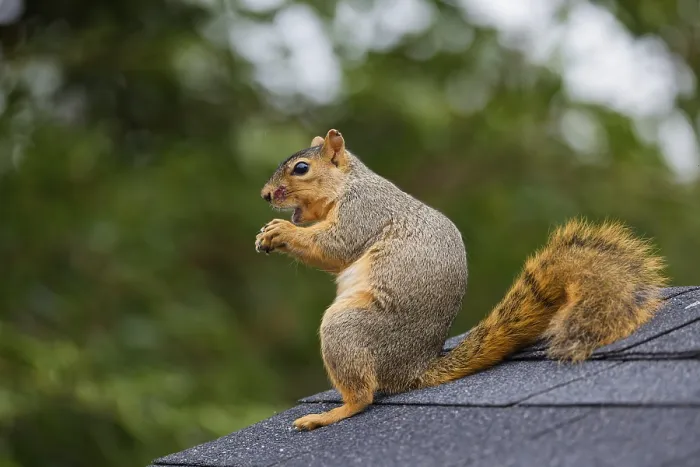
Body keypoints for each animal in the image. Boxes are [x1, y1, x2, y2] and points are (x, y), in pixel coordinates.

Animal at [255, 129, 668, 431]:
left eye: (301, 168)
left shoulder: (364, 211)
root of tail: (412, 368)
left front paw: (279, 232)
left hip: (349, 327)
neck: (348, 184)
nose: (265, 195)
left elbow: (336, 245)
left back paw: (329, 414)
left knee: (364, 396)